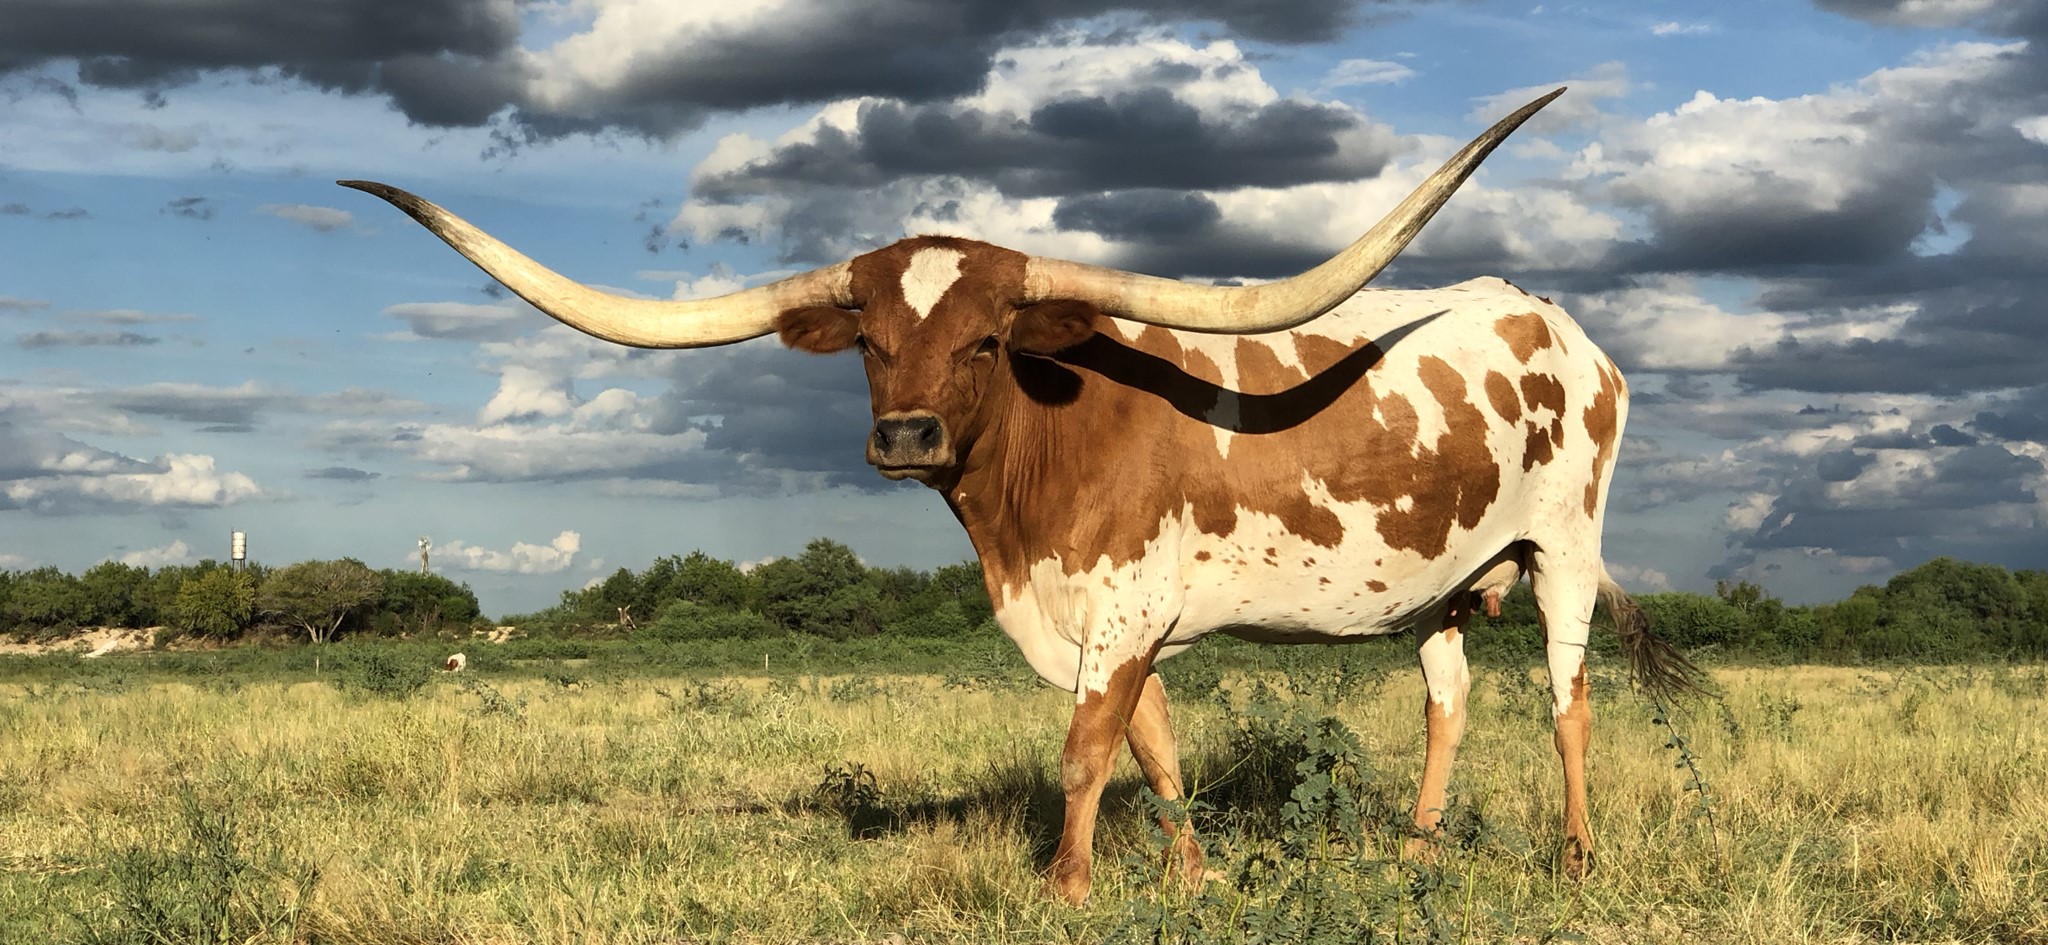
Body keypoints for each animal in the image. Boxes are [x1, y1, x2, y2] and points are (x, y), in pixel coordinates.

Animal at [342, 89, 1699, 903]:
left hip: (1561, 548)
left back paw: (1576, 860)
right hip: (1441, 583)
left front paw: (1065, 886)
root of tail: (1560, 326)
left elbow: (1087, 749)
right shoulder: (1113, 617)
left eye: (990, 337)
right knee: (1447, 699)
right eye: (870, 338)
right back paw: (1411, 849)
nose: (905, 433)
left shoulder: (1124, 606)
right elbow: (1152, 749)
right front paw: (1189, 877)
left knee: (1567, 702)